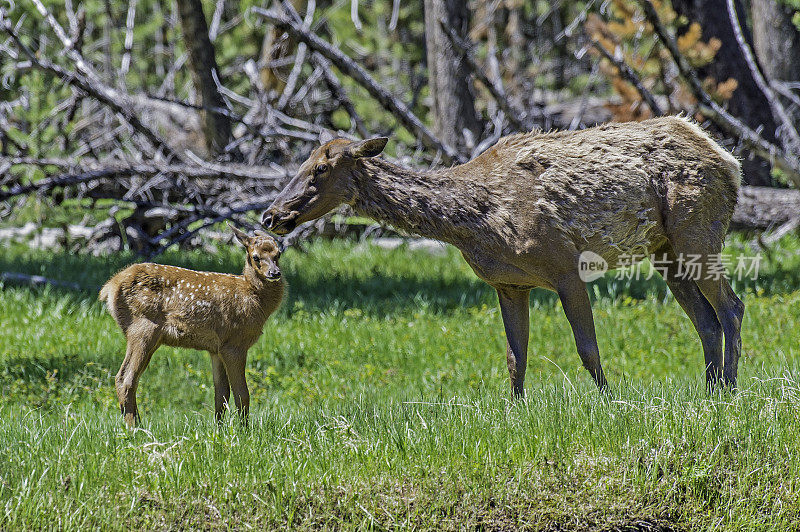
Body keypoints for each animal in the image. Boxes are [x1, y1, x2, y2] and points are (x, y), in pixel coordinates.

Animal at [99, 227, 282, 426]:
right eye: (255, 257)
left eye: (278, 253)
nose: (275, 273)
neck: (253, 297)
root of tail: (110, 287)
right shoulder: (234, 343)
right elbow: (242, 394)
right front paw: (244, 430)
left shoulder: (216, 349)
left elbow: (221, 394)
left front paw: (219, 429)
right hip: (142, 329)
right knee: (125, 378)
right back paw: (134, 428)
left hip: (150, 338)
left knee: (131, 378)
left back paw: (138, 425)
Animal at [262, 117, 744, 400]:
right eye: (300, 164)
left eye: (320, 169)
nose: (271, 215)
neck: (472, 224)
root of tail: (729, 160)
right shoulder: (509, 284)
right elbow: (516, 357)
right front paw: (516, 410)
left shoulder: (566, 267)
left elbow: (587, 348)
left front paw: (610, 402)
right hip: (665, 251)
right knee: (705, 318)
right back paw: (711, 391)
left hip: (698, 232)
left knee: (732, 307)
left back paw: (730, 390)